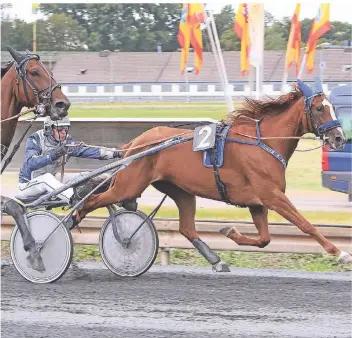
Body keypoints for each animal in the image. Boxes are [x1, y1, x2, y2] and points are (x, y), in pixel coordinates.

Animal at [0, 45, 71, 272]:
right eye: (34, 71)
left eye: (49, 70)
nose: (63, 104)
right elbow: (14, 205)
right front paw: (34, 251)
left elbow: (14, 206)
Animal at [77, 78, 350, 270]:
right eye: (319, 108)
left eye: (332, 107)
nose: (339, 138)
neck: (264, 142)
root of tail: (135, 143)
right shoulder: (272, 196)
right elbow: (306, 224)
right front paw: (340, 253)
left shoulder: (257, 202)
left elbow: (264, 239)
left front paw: (230, 232)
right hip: (130, 184)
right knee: (92, 200)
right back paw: (74, 223)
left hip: (180, 191)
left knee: (187, 228)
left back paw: (217, 260)